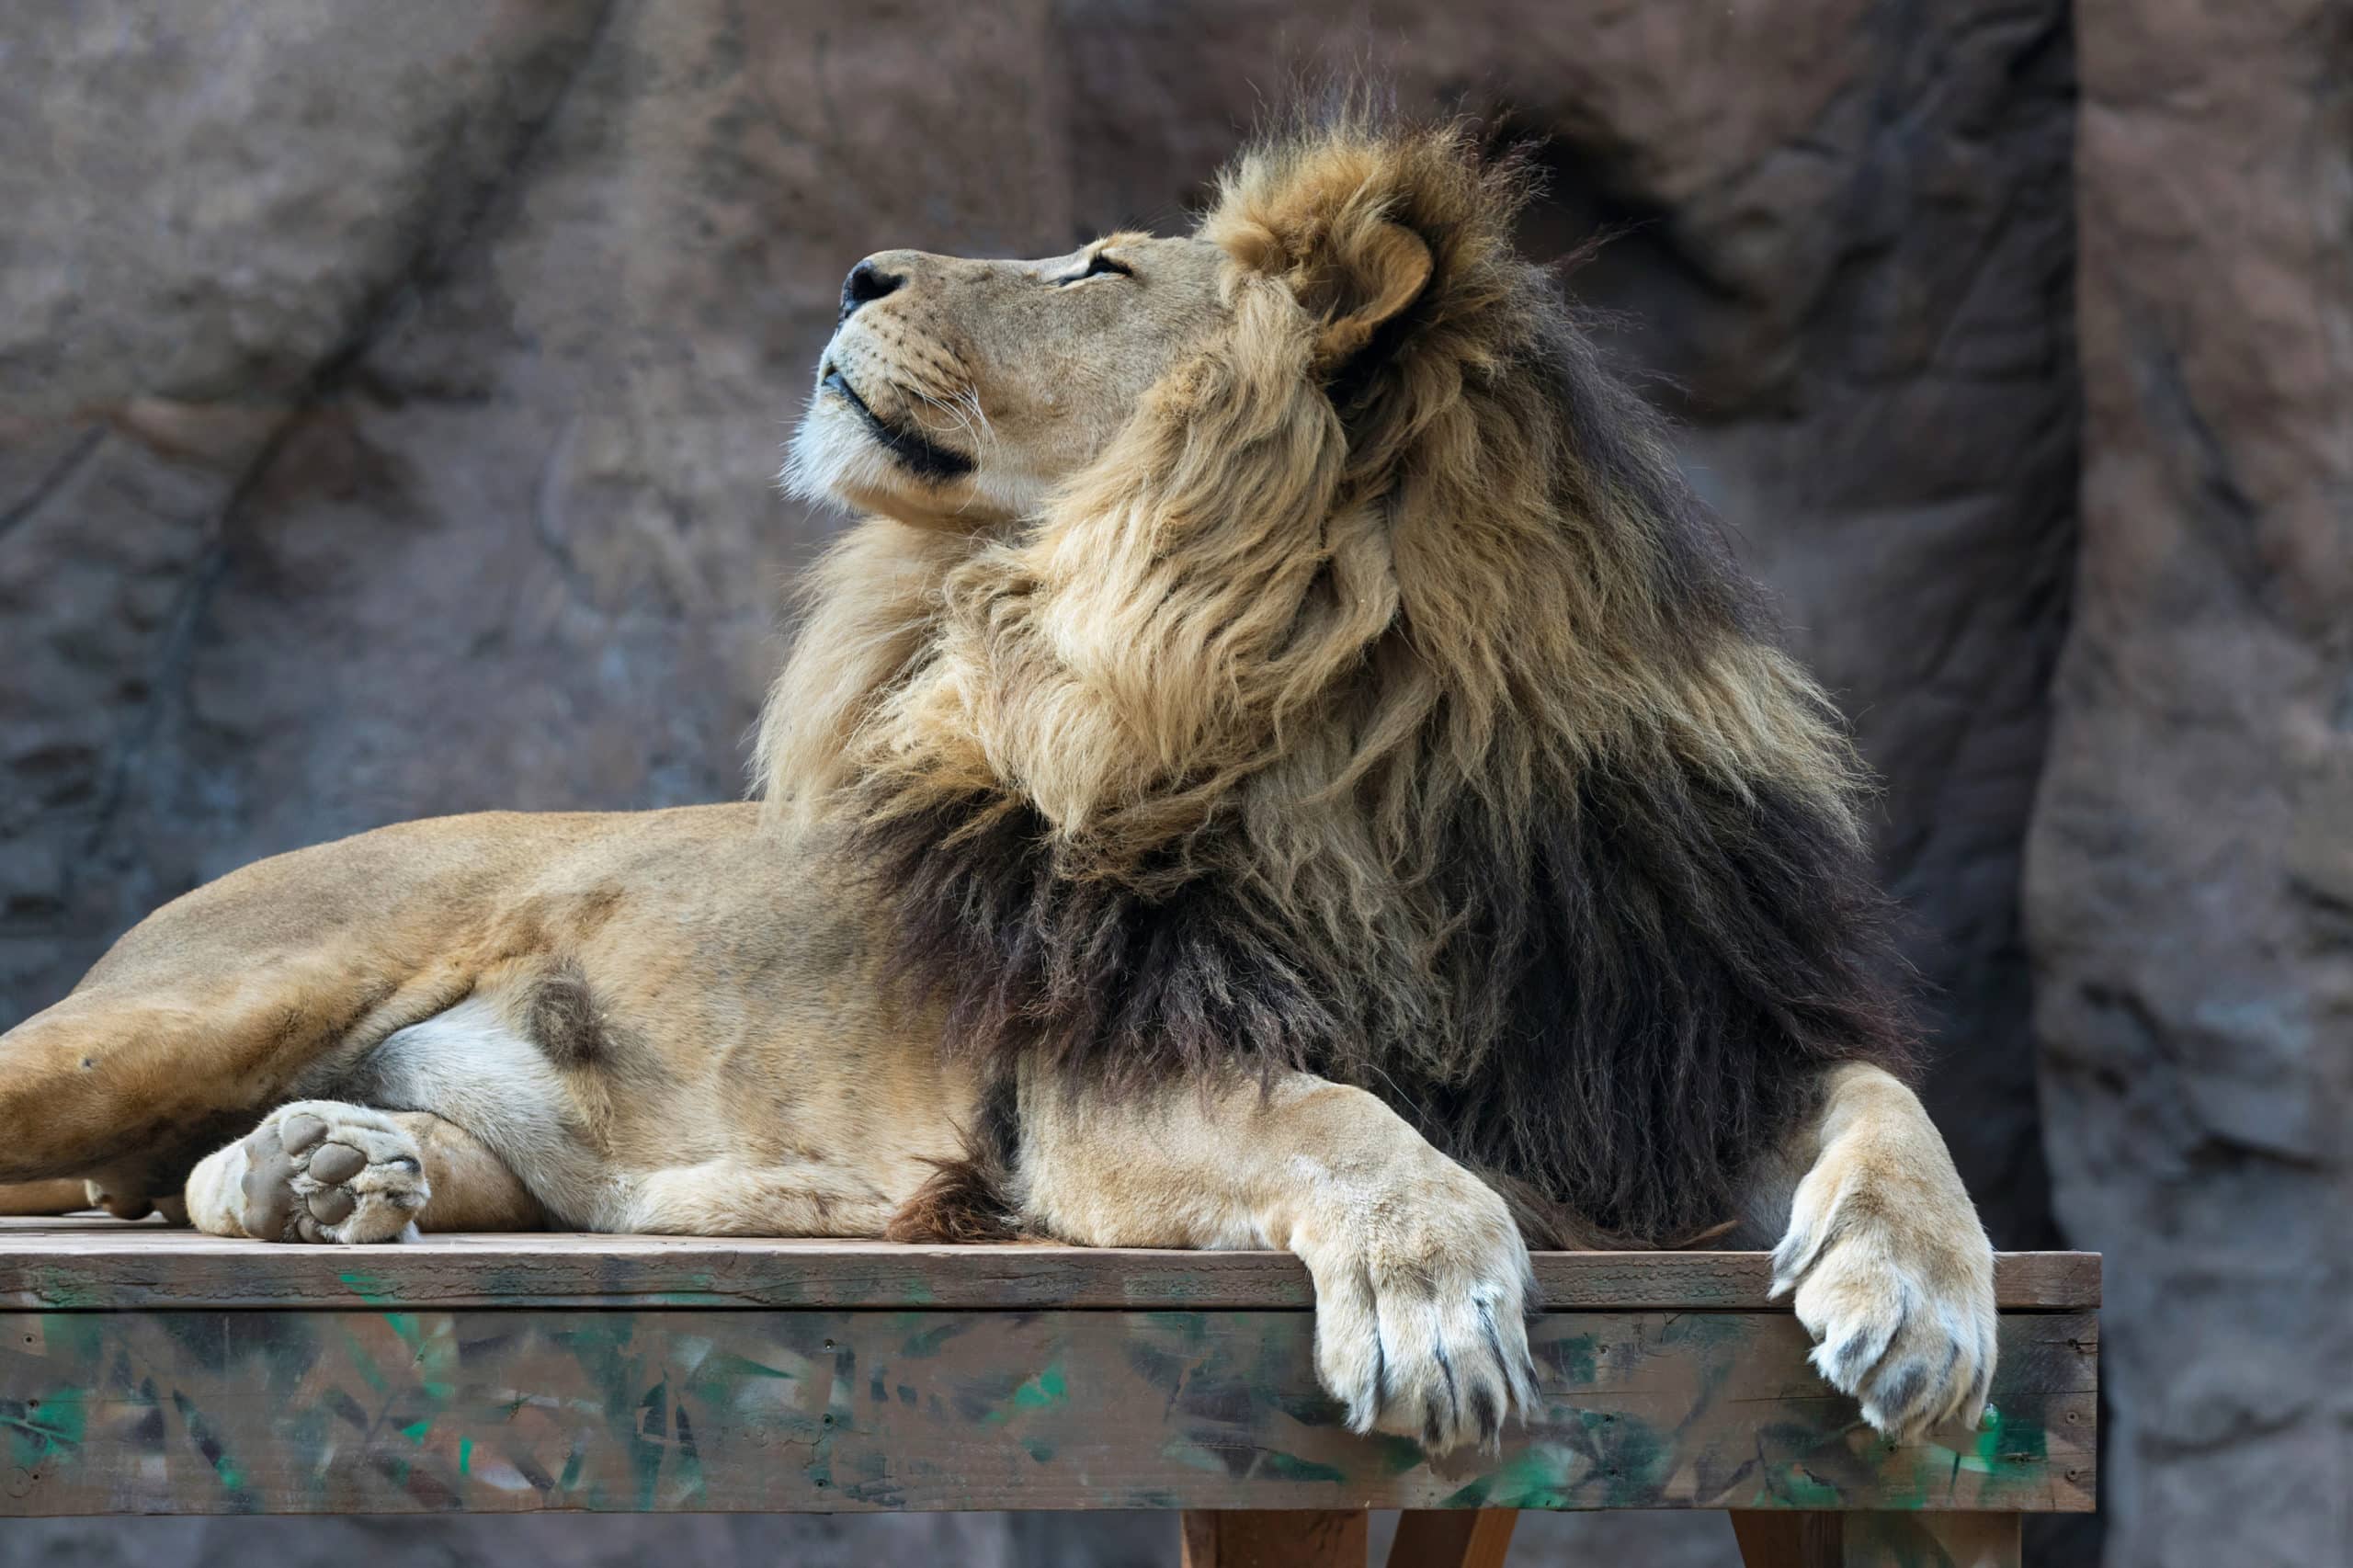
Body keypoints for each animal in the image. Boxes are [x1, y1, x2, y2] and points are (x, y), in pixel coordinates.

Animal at [0, 111, 1995, 1454]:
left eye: (1095, 270)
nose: (855, 272)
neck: (1351, 736)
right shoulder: (1102, 1075)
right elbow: (1339, 1120)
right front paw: (1433, 1291)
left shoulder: (1661, 1026)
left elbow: (1892, 1104)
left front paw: (1922, 1304)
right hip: (194, 1006)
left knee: (204, 1183)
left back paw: (327, 1168)